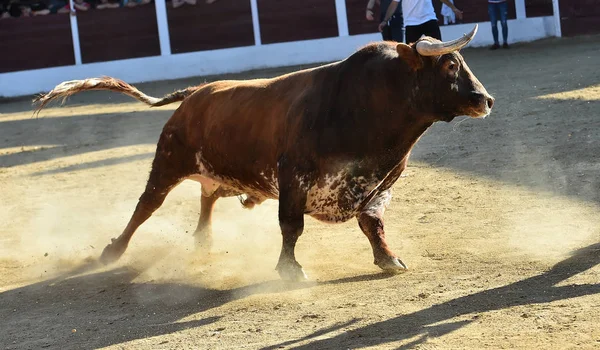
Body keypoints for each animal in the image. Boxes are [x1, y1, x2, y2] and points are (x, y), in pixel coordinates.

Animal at [34, 24, 492, 282]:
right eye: (451, 65)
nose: (485, 100)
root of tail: (194, 94)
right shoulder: (293, 179)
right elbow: (292, 227)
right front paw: (290, 271)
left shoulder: (381, 183)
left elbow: (372, 223)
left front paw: (389, 260)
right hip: (168, 161)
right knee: (146, 206)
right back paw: (113, 251)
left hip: (227, 173)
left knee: (207, 197)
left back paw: (202, 241)